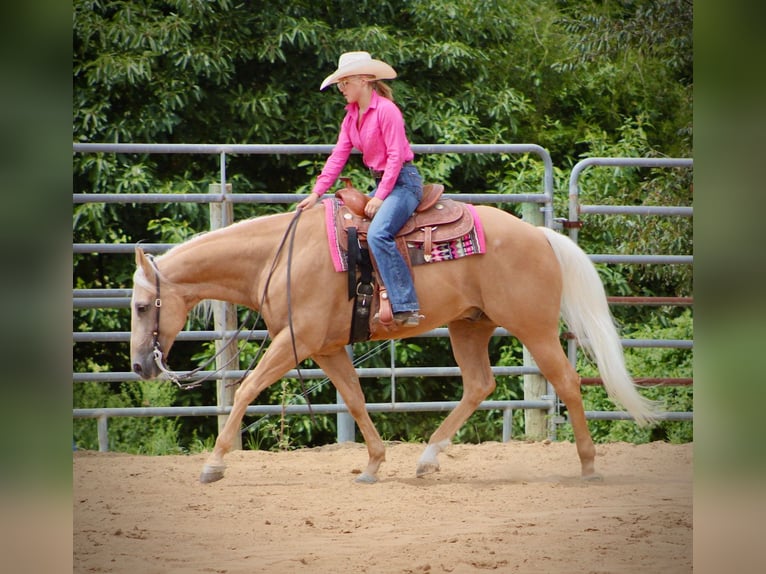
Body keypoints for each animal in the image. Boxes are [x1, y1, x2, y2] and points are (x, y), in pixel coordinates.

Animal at [130, 200, 657, 484]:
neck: (281, 258)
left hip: (535, 329)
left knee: (567, 382)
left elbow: (245, 390)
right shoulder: (326, 348)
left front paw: (213, 466)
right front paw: (373, 464)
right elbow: (355, 400)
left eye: (139, 306)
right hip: (470, 326)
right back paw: (426, 459)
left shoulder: (293, 342)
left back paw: (588, 466)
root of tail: (541, 235)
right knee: (478, 385)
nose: (140, 367)